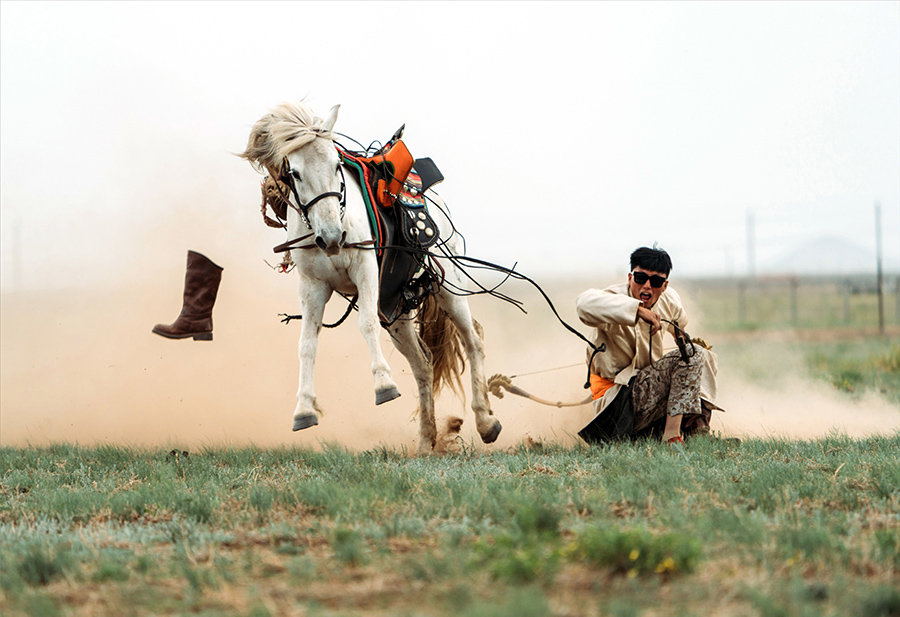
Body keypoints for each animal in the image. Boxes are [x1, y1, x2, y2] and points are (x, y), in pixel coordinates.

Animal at [243, 101, 502, 454]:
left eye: (336, 163)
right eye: (293, 172)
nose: (332, 236)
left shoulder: (365, 270)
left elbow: (365, 325)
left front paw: (384, 385)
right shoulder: (312, 287)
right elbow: (306, 344)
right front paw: (304, 410)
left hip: (447, 287)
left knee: (473, 341)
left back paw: (486, 422)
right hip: (395, 309)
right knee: (423, 364)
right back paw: (426, 440)